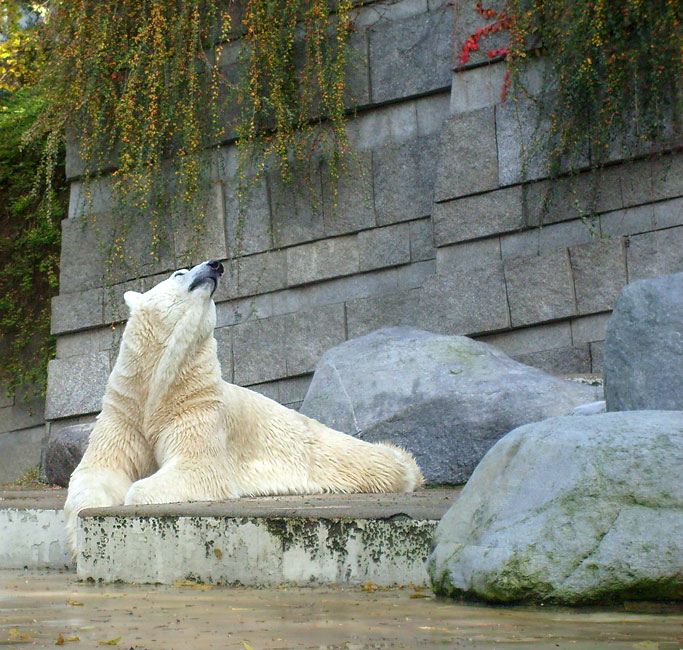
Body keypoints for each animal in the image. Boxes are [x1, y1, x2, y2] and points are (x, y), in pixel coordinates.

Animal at [67, 260, 424, 548]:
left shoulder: (195, 405)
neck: (158, 387)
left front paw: (130, 496)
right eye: (179, 273)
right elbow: (97, 469)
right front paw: (78, 532)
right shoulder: (125, 408)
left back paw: (403, 464)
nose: (215, 265)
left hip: (320, 447)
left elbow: (196, 468)